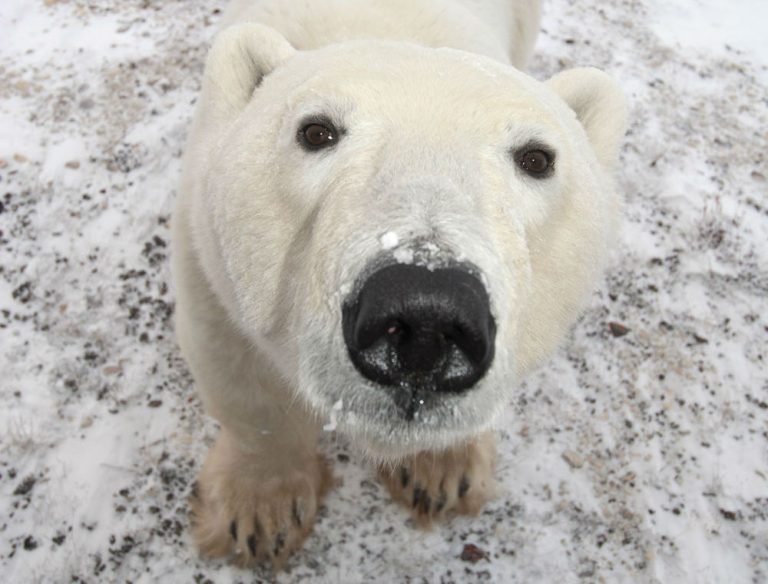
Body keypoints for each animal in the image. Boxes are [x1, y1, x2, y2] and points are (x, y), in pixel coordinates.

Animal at [171, 0, 627, 570]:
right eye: (315, 131)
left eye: (537, 157)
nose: (425, 319)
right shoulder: (208, 262)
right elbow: (242, 380)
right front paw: (257, 514)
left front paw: (442, 473)